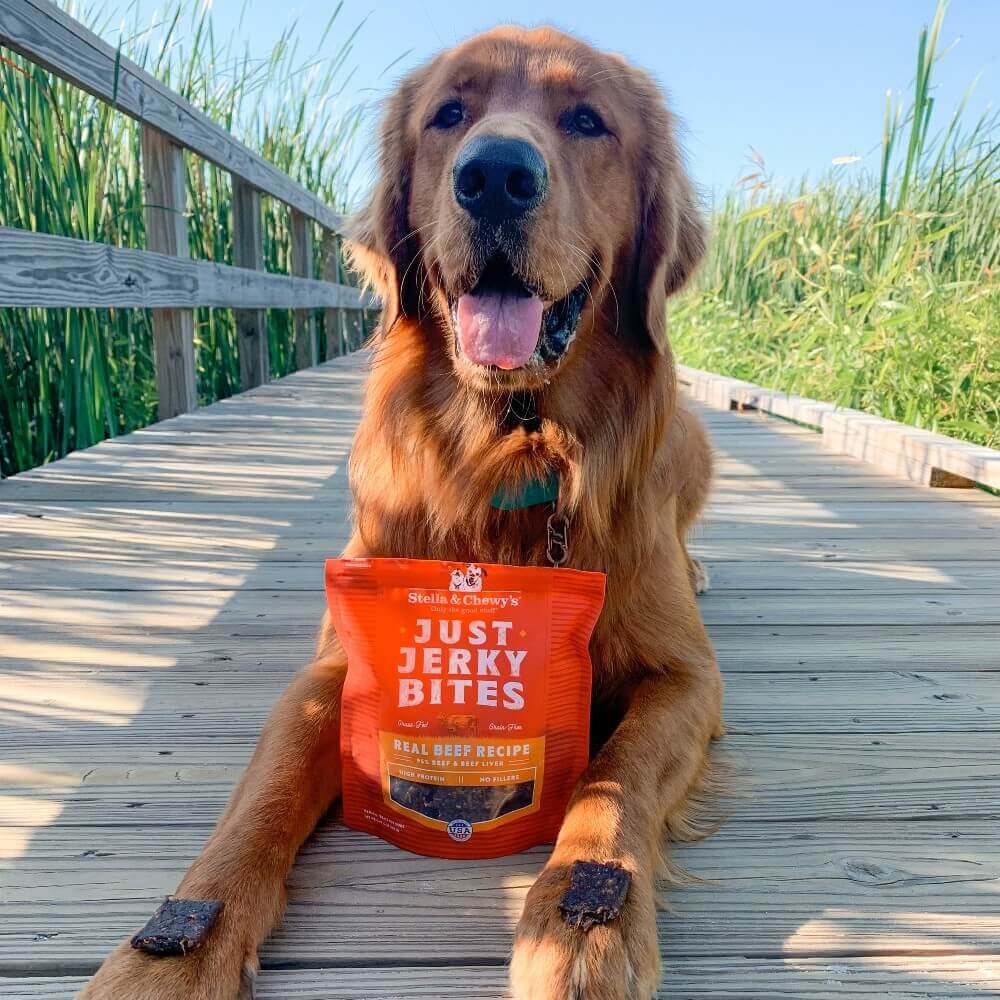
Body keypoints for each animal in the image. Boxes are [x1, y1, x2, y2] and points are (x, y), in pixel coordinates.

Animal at [84, 21, 720, 1000]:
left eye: (587, 120)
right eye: (448, 115)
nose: (494, 174)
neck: (509, 447)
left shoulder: (687, 677)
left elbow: (618, 776)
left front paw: (585, 923)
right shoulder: (332, 665)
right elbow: (262, 795)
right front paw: (171, 950)